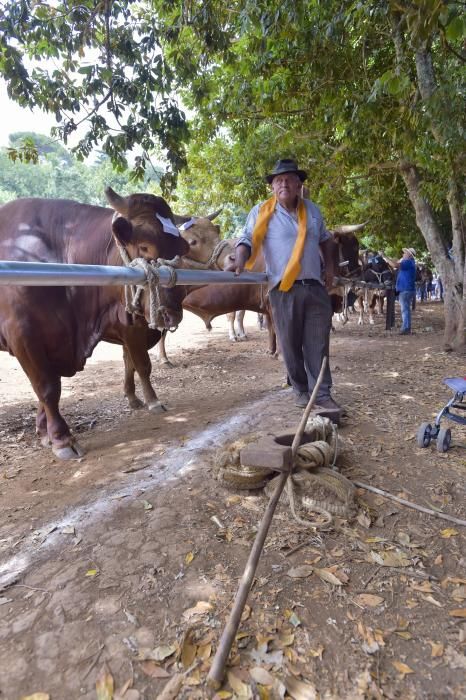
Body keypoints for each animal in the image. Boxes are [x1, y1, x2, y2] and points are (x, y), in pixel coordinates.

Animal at [0, 189, 191, 460]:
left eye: (182, 248)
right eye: (145, 246)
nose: (172, 313)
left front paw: (44, 432)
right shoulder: (23, 337)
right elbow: (47, 388)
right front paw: (60, 438)